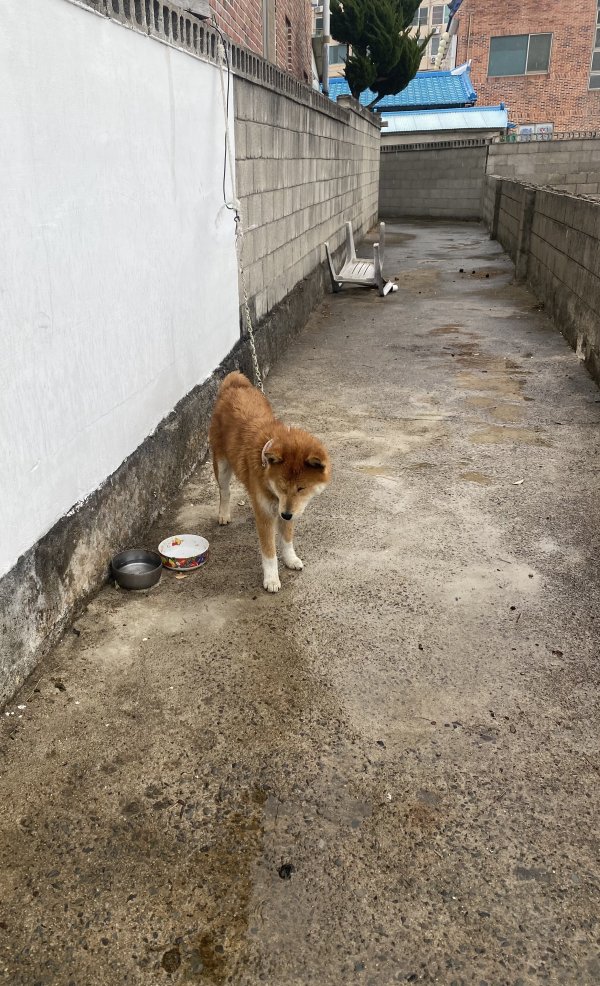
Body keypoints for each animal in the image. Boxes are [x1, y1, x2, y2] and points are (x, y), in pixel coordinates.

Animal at [209, 372, 330, 592]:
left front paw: (290, 559)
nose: (286, 514)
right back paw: (224, 513)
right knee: (224, 491)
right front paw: (272, 578)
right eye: (282, 486)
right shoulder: (266, 516)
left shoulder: (288, 510)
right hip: (221, 464)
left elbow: (287, 540)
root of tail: (235, 384)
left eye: (301, 488)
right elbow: (269, 552)